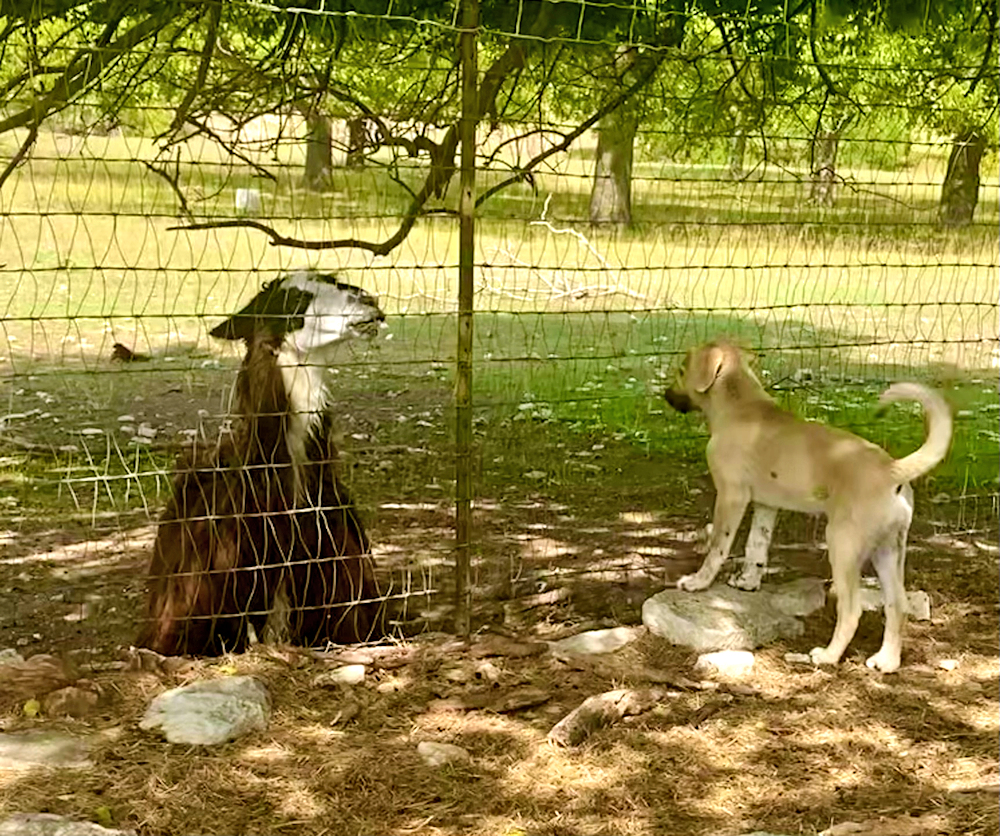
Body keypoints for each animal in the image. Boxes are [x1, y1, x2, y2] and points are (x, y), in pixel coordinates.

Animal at [664, 340, 952, 672]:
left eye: (681, 370)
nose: (665, 395)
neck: (740, 406)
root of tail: (892, 470)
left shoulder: (731, 495)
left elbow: (717, 548)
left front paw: (698, 582)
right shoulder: (766, 505)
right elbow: (756, 547)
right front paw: (748, 582)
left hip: (842, 544)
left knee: (851, 610)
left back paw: (827, 656)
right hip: (888, 551)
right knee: (897, 605)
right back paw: (886, 661)